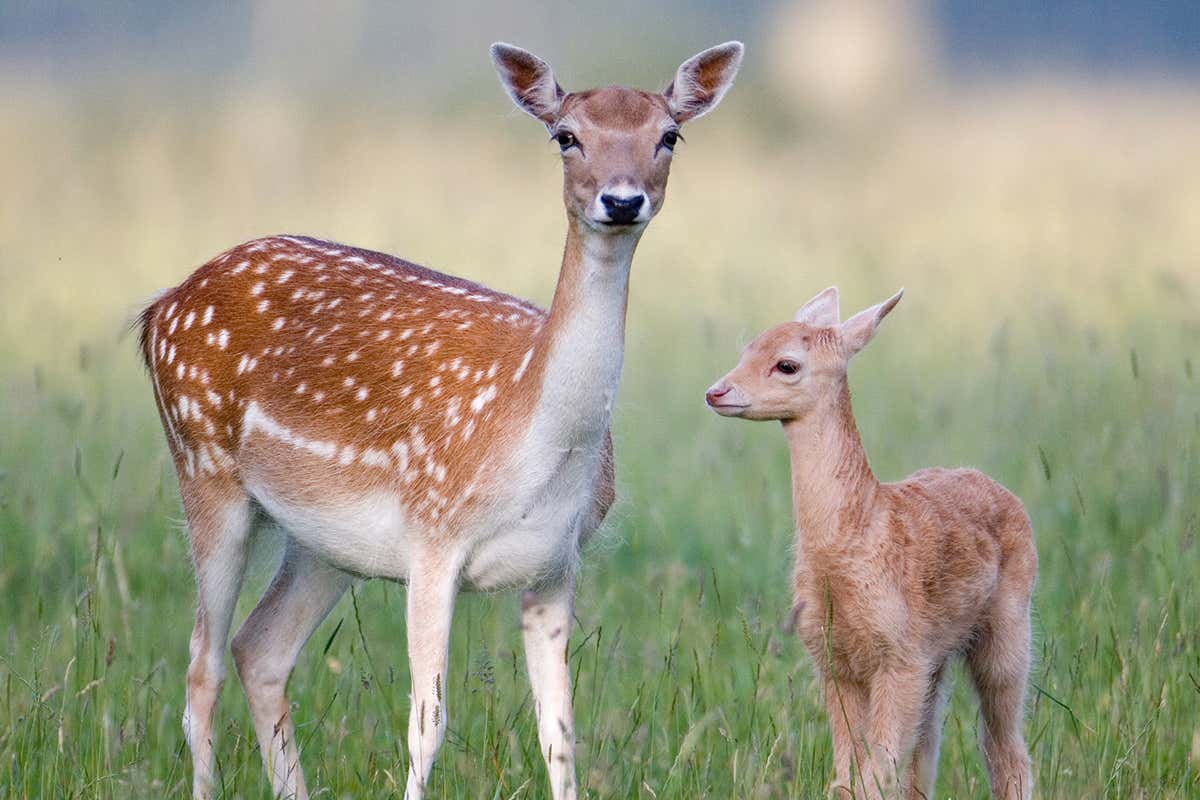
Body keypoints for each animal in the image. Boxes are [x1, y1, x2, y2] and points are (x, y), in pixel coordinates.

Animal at [137, 41, 743, 800]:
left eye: (668, 136)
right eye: (565, 136)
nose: (623, 199)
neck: (533, 438)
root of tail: (159, 307)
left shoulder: (557, 562)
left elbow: (560, 735)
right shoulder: (432, 538)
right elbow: (427, 725)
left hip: (324, 543)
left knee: (260, 649)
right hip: (203, 466)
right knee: (201, 669)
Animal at [705, 287, 1037, 800]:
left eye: (787, 364)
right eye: (747, 349)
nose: (717, 391)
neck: (854, 540)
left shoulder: (898, 655)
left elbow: (873, 776)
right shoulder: (833, 660)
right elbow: (847, 777)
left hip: (1010, 627)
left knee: (1007, 748)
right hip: (936, 657)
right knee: (926, 753)